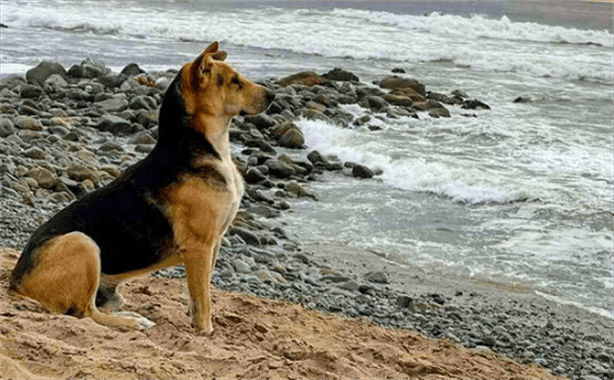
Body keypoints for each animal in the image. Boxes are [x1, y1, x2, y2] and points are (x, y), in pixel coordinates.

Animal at [8, 41, 274, 332]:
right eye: (235, 81)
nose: (272, 96)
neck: (202, 146)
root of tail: (16, 282)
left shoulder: (213, 244)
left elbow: (197, 294)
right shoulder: (200, 247)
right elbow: (203, 299)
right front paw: (205, 331)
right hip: (83, 242)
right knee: (86, 313)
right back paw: (133, 322)